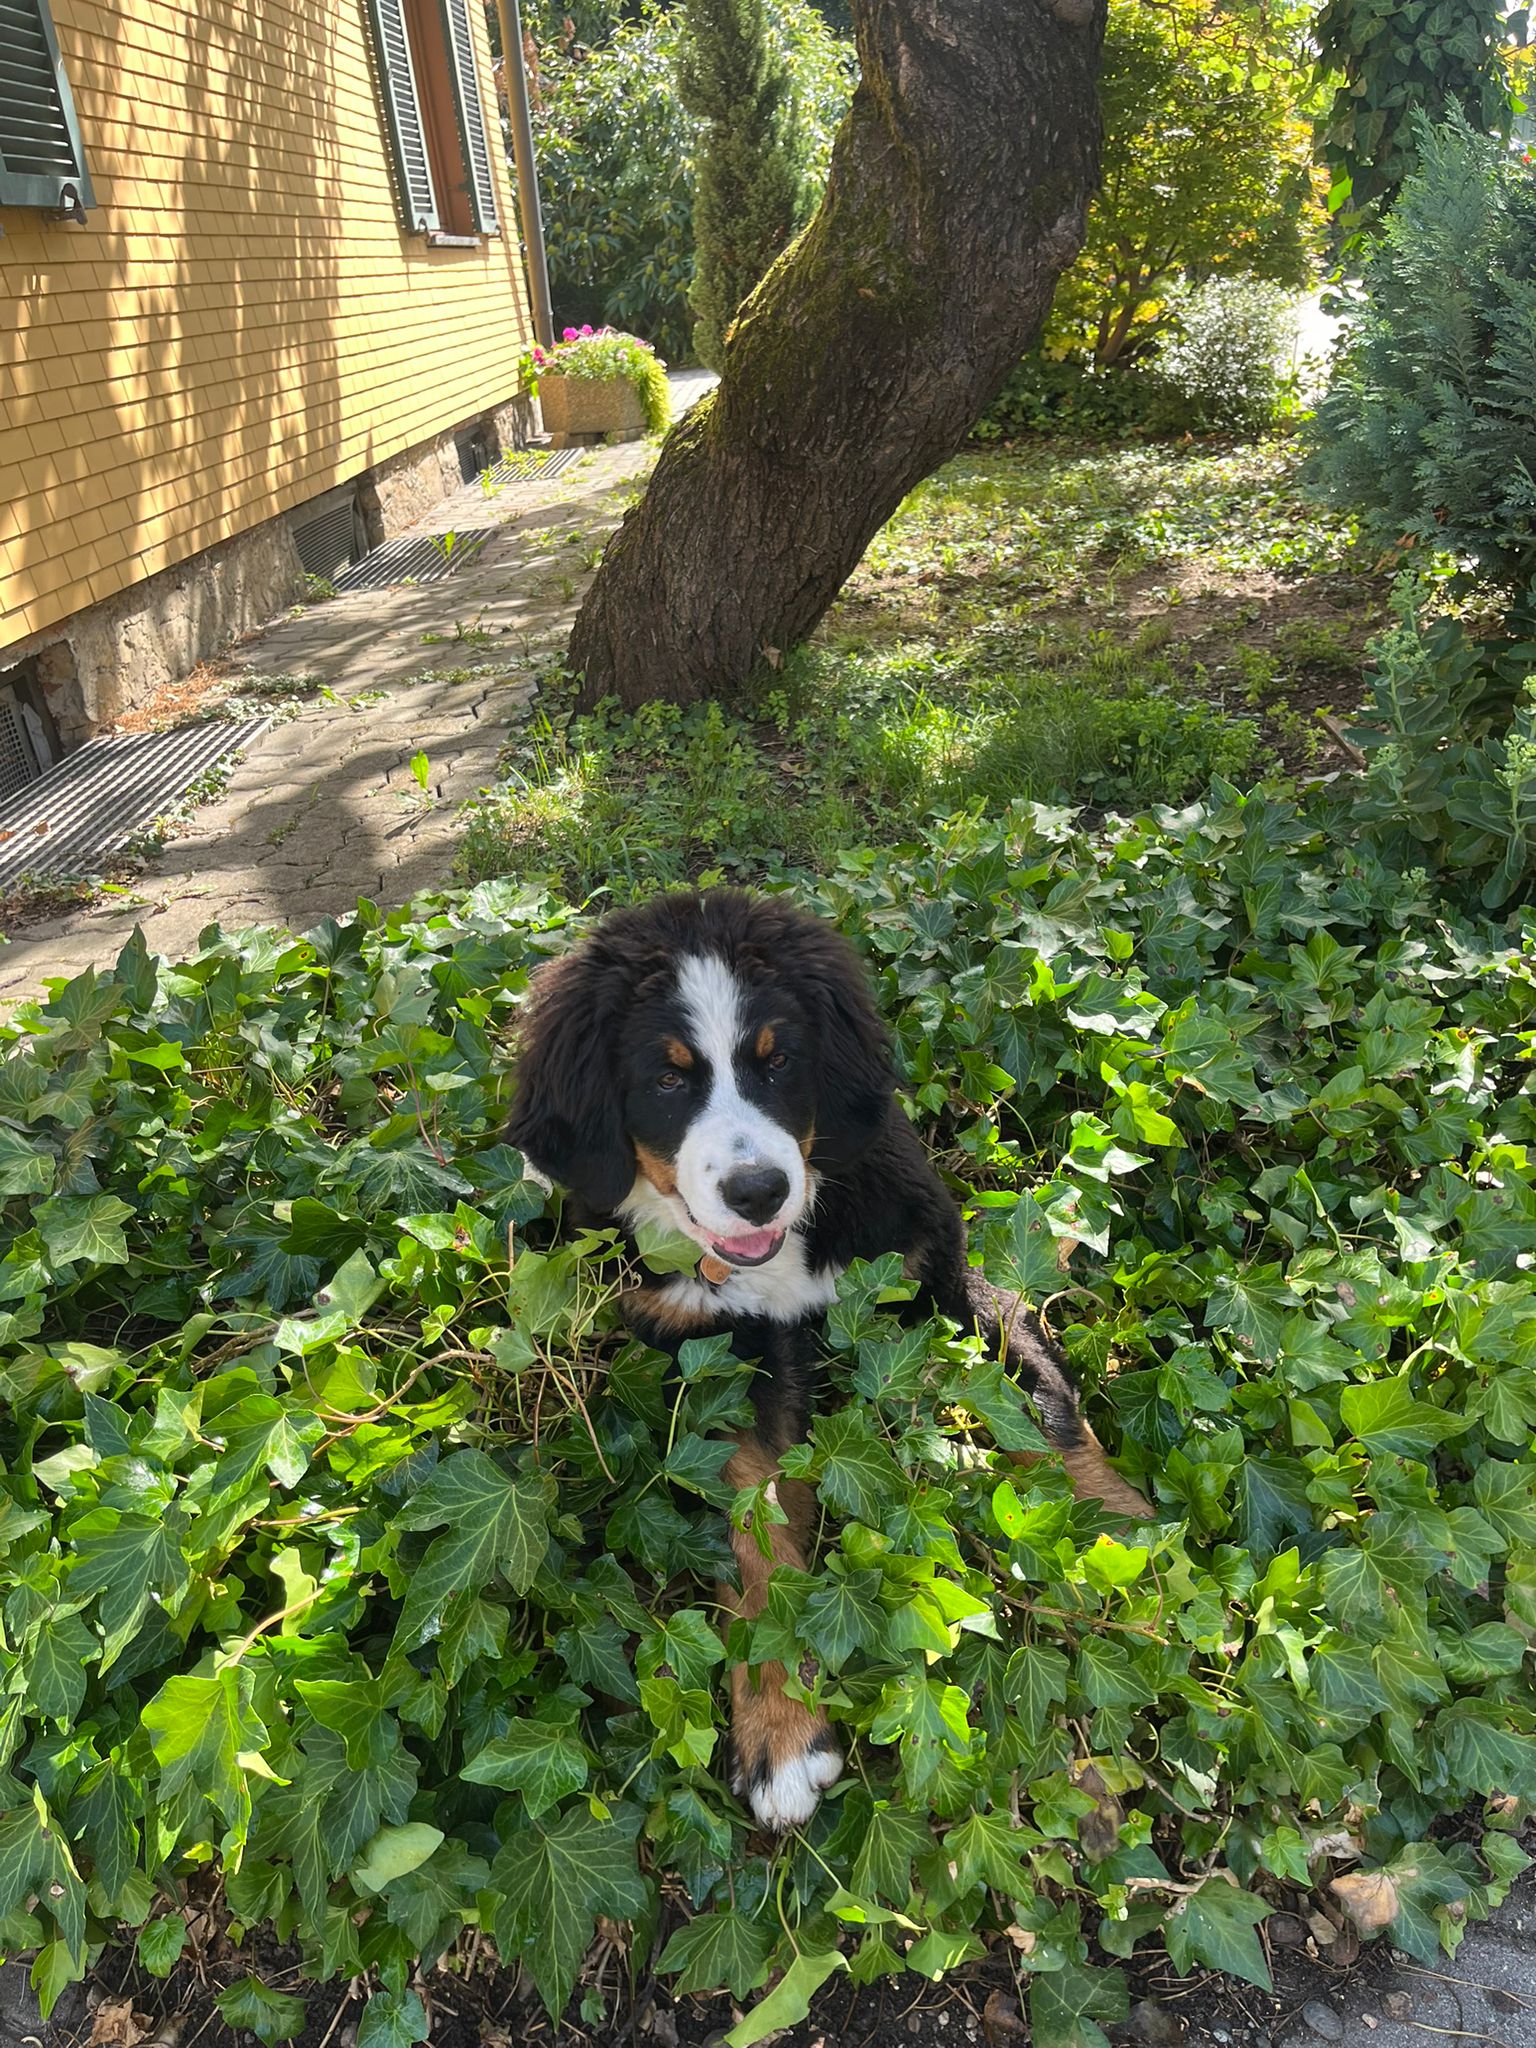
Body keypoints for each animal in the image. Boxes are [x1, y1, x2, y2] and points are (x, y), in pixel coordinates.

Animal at [507, 889, 1149, 1831]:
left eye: (779, 1064)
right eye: (666, 1080)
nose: (757, 1192)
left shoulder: (941, 1280)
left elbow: (1045, 1412)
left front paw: (1123, 1546)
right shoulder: (721, 1368)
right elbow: (760, 1542)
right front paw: (780, 1731)